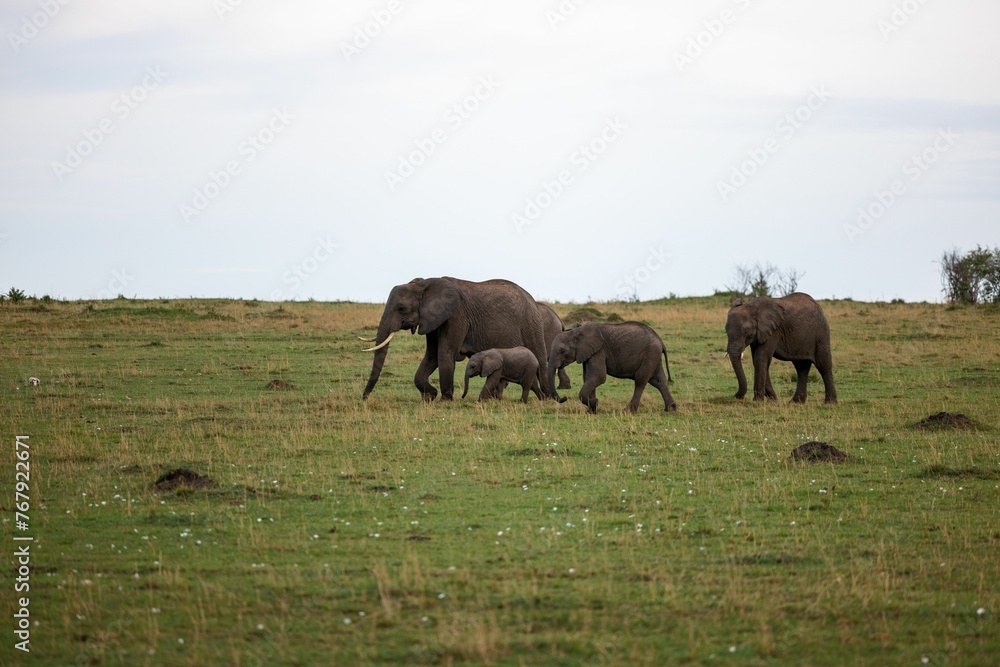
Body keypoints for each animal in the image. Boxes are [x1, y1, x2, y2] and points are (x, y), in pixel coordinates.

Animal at [361, 277, 556, 402]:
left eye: (401, 308)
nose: (364, 398)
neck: (424, 285)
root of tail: (532, 300)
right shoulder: (434, 319)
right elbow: (432, 355)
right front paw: (430, 396)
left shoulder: (456, 316)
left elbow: (445, 352)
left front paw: (444, 400)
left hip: (531, 325)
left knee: (540, 361)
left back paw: (547, 399)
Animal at [548, 321, 676, 414]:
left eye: (562, 351)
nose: (564, 397)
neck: (578, 331)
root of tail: (660, 341)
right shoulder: (589, 353)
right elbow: (588, 377)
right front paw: (592, 410)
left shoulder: (599, 351)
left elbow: (598, 377)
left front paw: (594, 403)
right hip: (654, 356)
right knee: (658, 381)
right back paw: (670, 409)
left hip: (650, 355)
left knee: (640, 381)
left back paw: (628, 411)